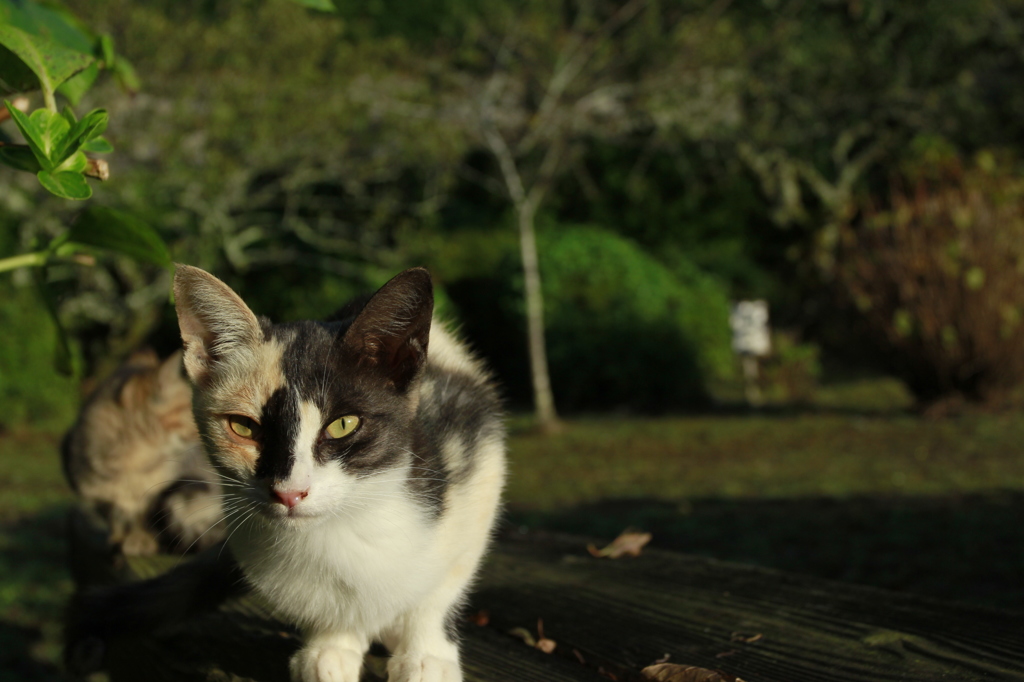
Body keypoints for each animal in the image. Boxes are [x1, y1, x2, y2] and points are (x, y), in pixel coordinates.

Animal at [61, 348, 224, 557]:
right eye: (190, 409)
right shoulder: (101, 499)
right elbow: (116, 518)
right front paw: (118, 539)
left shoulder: (162, 492)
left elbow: (144, 518)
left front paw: (141, 540)